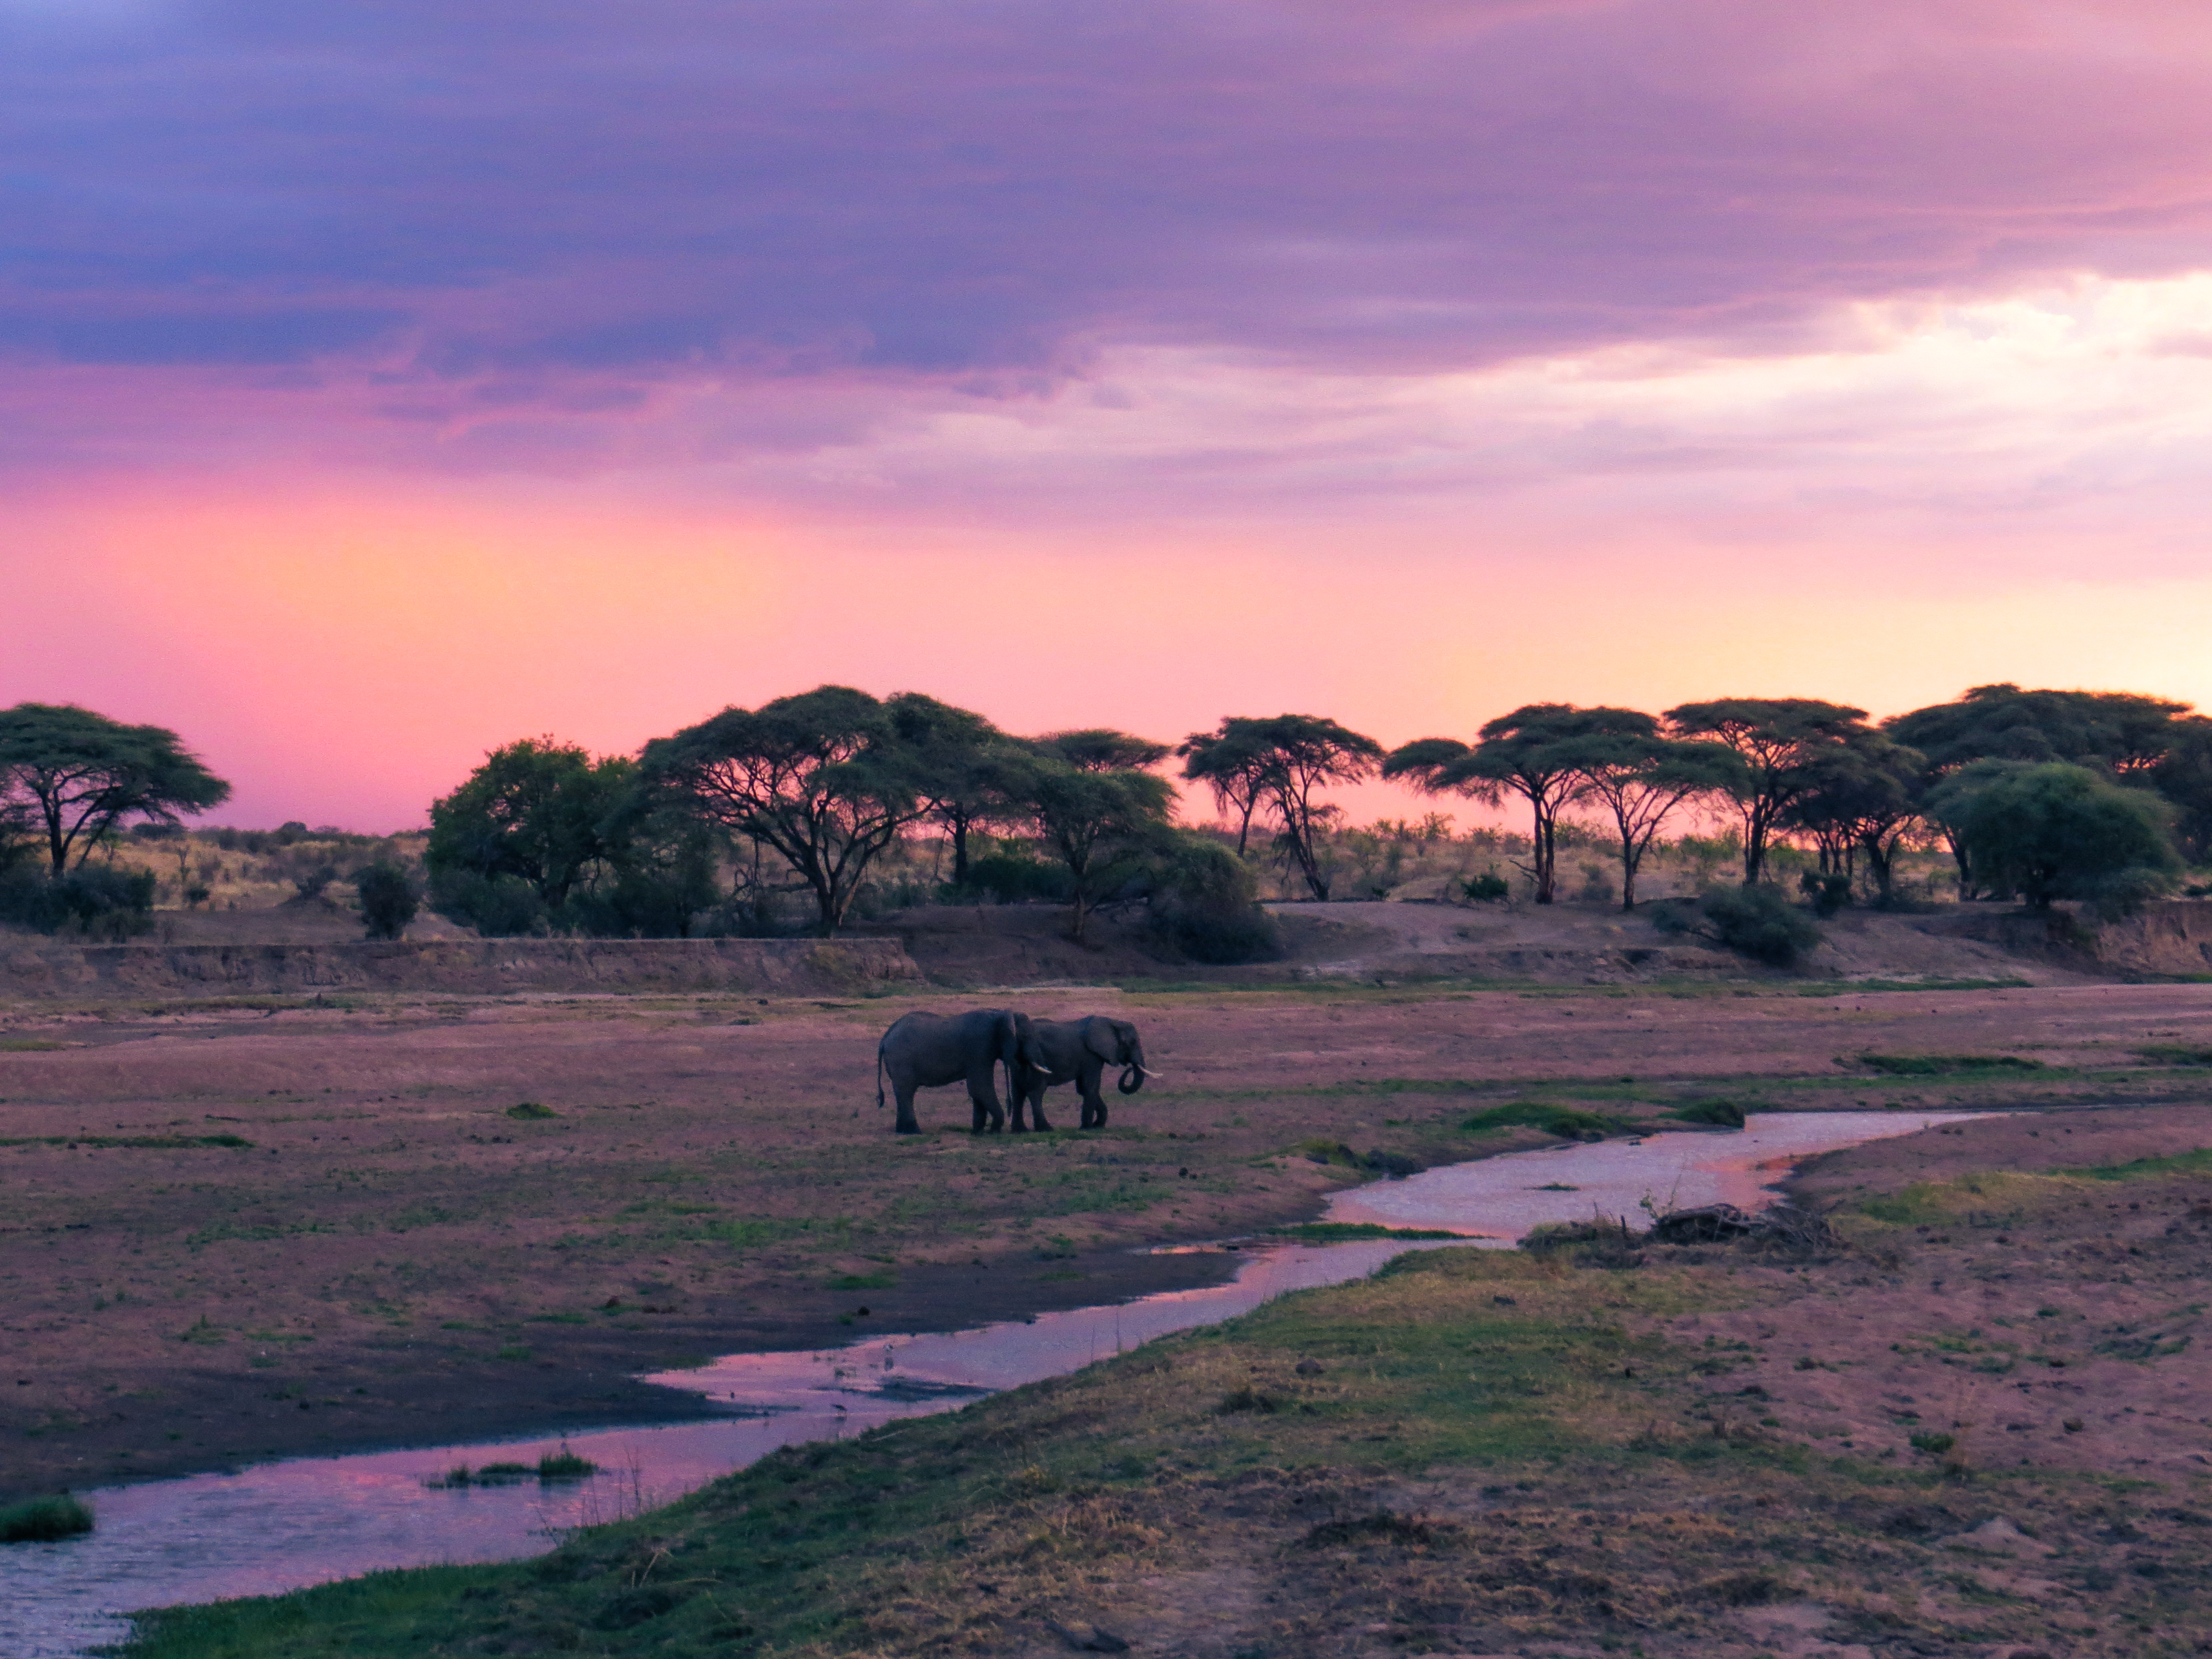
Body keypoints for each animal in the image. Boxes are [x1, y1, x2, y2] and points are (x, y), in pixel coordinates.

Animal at [876, 1009, 1022, 1141]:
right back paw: (915, 1132)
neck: (998, 1014)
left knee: (903, 1093)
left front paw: (978, 1132)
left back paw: (902, 1131)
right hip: (902, 1059)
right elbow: (980, 1087)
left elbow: (977, 1090)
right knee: (907, 1092)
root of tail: (885, 1038)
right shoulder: (980, 1047)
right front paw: (993, 1132)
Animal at [1009, 1013, 1150, 1133]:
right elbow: (1091, 1086)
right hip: (1036, 1057)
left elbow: (1083, 1088)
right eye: (1132, 1042)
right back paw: (1046, 1129)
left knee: (1018, 1093)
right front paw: (1088, 1128)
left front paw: (1097, 1126)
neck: (1112, 1022)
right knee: (1036, 1092)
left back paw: (1020, 1131)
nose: (1130, 1067)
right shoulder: (1091, 1056)